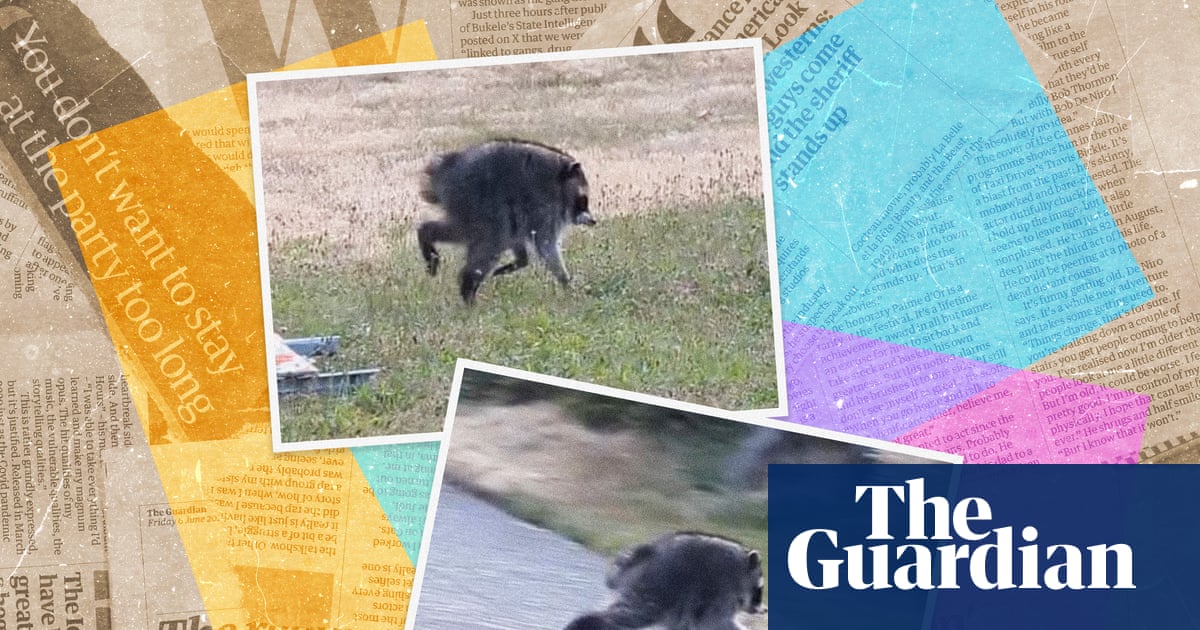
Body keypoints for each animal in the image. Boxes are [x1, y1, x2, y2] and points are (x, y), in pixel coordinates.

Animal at [416, 138, 595, 304]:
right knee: (493, 237)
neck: (561, 180)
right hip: (473, 197)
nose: (593, 220)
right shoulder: (545, 208)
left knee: (487, 234)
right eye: (583, 200)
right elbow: (546, 245)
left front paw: (520, 261)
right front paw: (566, 282)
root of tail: (444, 168)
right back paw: (467, 284)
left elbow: (518, 238)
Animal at [564, 532, 766, 630]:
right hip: (657, 586)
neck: (740, 568)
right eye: (759, 589)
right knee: (629, 615)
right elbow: (716, 622)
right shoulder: (720, 589)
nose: (764, 610)